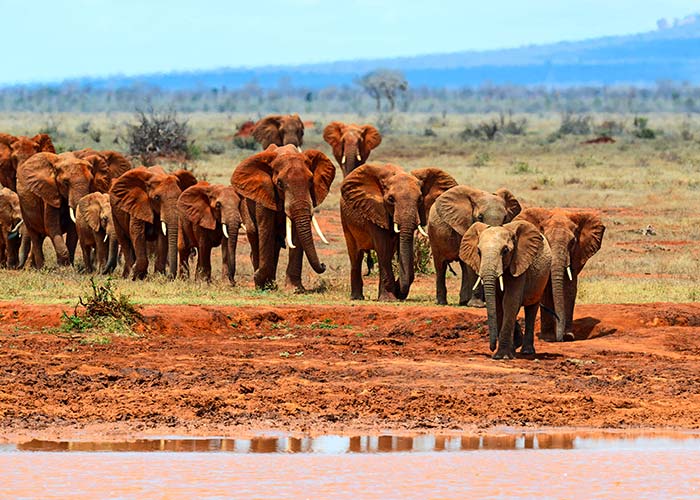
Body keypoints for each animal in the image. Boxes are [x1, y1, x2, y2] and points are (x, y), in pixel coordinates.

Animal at [230, 145, 336, 290]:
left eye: (310, 181)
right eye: (279, 183)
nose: (323, 265)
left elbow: (296, 235)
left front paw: (296, 290)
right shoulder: (264, 193)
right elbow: (266, 231)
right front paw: (261, 282)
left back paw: (271, 284)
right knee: (254, 234)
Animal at [340, 163, 460, 300]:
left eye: (420, 199)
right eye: (391, 199)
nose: (399, 293)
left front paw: (396, 291)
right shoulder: (375, 210)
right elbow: (383, 249)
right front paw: (388, 299)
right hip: (345, 221)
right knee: (355, 256)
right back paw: (357, 298)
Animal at [460, 221, 552, 358]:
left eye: (505, 251)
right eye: (478, 252)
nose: (491, 348)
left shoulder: (519, 263)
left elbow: (510, 301)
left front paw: (501, 356)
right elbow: (498, 305)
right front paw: (508, 351)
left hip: (540, 280)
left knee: (531, 307)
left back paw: (527, 351)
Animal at [516, 208, 608, 344]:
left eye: (572, 242)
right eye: (545, 240)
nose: (560, 339)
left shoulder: (576, 254)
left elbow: (569, 288)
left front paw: (568, 336)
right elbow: (546, 290)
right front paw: (548, 338)